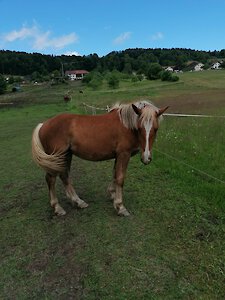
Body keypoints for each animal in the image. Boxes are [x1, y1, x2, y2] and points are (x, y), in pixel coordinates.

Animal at [32, 100, 169, 216]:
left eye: (156, 129)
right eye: (139, 128)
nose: (146, 158)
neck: (126, 125)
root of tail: (43, 124)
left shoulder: (118, 156)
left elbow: (115, 174)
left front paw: (112, 194)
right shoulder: (124, 154)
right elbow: (120, 178)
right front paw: (120, 206)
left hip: (66, 155)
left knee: (64, 176)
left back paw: (78, 202)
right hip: (56, 157)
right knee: (51, 179)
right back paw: (57, 207)